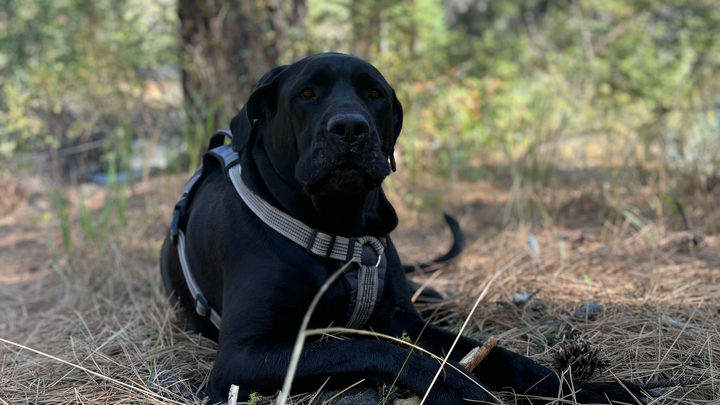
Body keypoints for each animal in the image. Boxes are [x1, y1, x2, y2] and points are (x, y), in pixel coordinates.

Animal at [161, 53, 654, 404]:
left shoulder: (401, 318)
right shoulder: (241, 357)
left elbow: (500, 355)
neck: (335, 229)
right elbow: (373, 349)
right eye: (306, 92)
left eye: (374, 94)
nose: (350, 127)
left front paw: (589, 389)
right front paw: (455, 386)